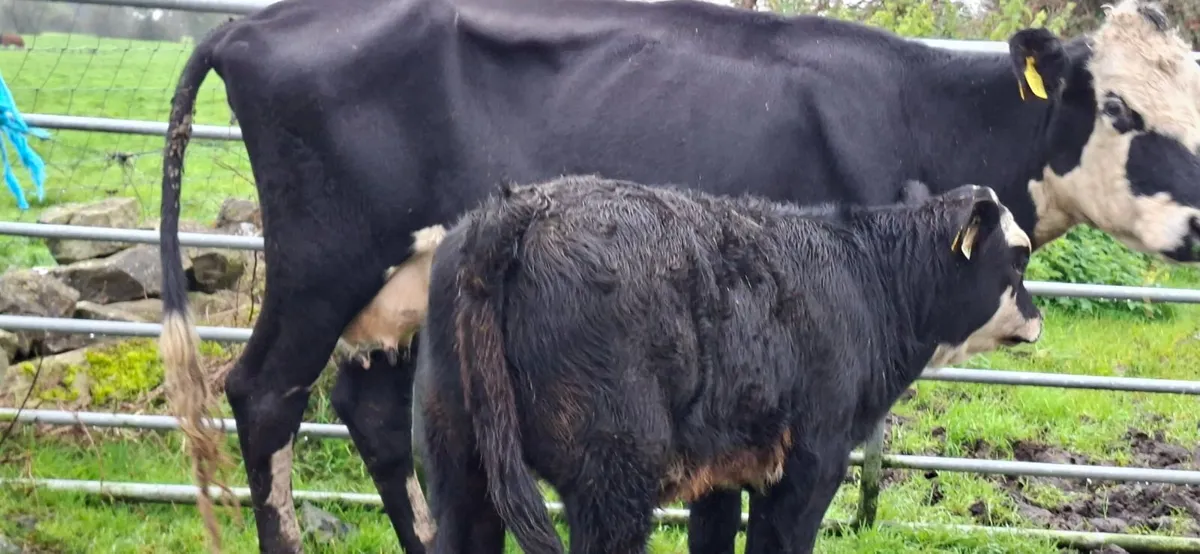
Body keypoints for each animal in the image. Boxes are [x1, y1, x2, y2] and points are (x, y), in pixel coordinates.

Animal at [414, 174, 1044, 554]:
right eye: (1019, 255)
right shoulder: (811, 465)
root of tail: (525, 205)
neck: (865, 278)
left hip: (458, 460)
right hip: (614, 477)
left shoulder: (719, 472)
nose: (1037, 318)